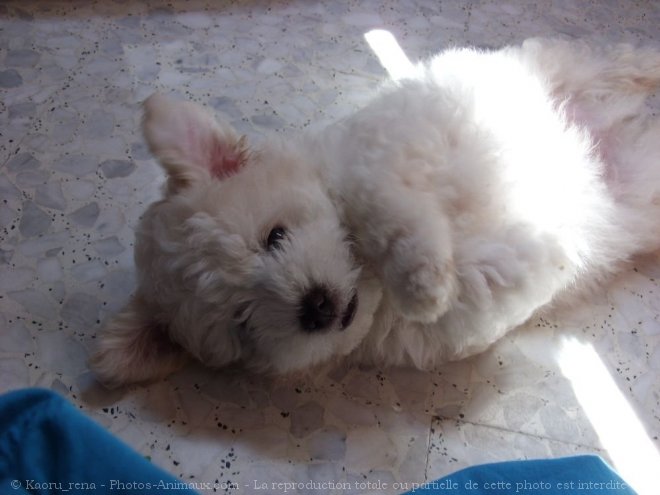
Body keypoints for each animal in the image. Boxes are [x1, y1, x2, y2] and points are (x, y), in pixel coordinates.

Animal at [90, 38, 660, 388]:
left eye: (275, 236)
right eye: (242, 322)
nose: (316, 307)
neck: (371, 288)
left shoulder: (374, 161)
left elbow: (380, 209)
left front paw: (423, 281)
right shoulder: (448, 326)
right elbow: (491, 286)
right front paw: (527, 258)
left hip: (548, 69)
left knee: (603, 62)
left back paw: (646, 66)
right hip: (642, 180)